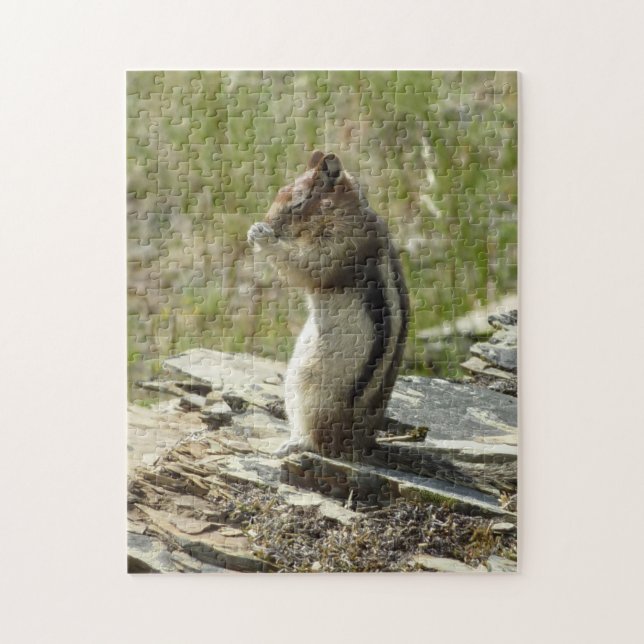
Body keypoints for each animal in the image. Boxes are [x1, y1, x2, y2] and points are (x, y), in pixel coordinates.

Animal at [247, 151, 409, 460]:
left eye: (298, 203)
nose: (269, 222)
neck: (346, 211)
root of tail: (360, 443)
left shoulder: (337, 246)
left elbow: (307, 267)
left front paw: (263, 236)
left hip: (310, 385)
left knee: (317, 440)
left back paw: (291, 445)